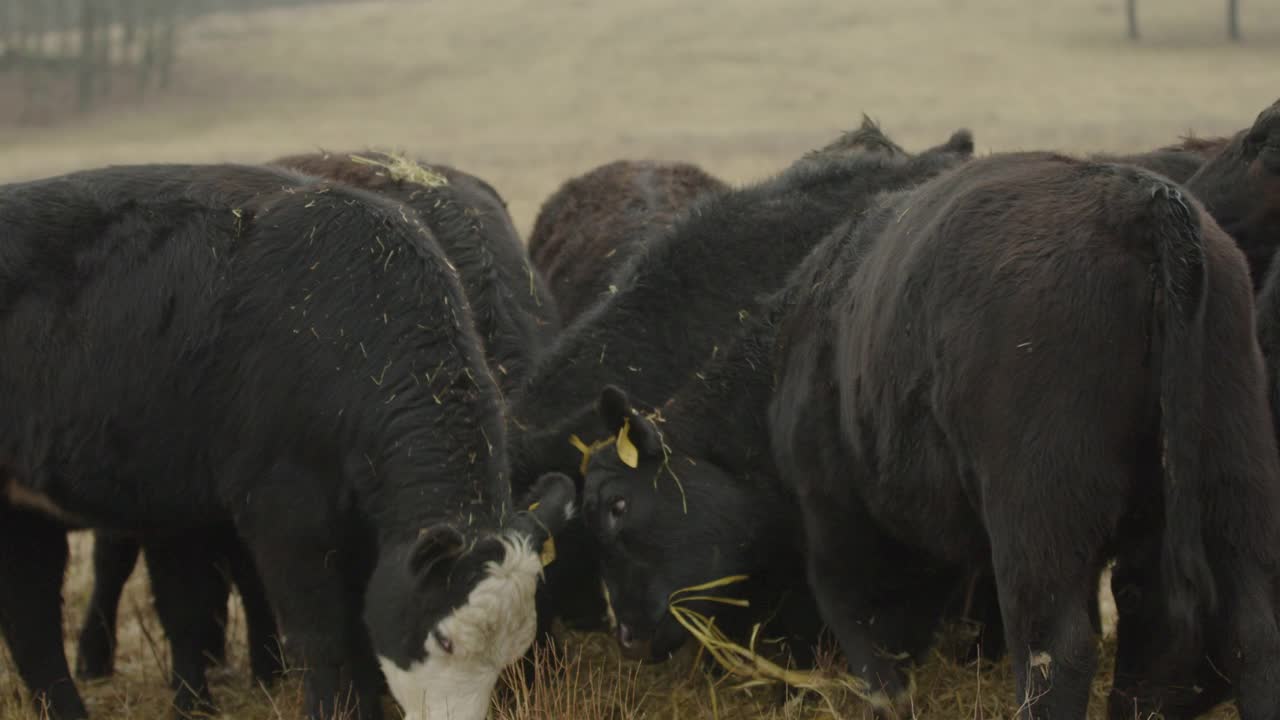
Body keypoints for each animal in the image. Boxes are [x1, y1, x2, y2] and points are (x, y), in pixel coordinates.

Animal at [0, 162, 576, 717]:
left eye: (514, 650)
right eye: (444, 640)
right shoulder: (286, 514)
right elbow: (323, 636)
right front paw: (332, 709)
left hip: (29, 514)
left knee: (32, 624)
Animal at [762, 149, 1280, 712]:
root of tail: (1140, 200)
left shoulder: (831, 513)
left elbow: (859, 625)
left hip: (1038, 509)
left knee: (1055, 655)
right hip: (1235, 479)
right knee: (1253, 636)